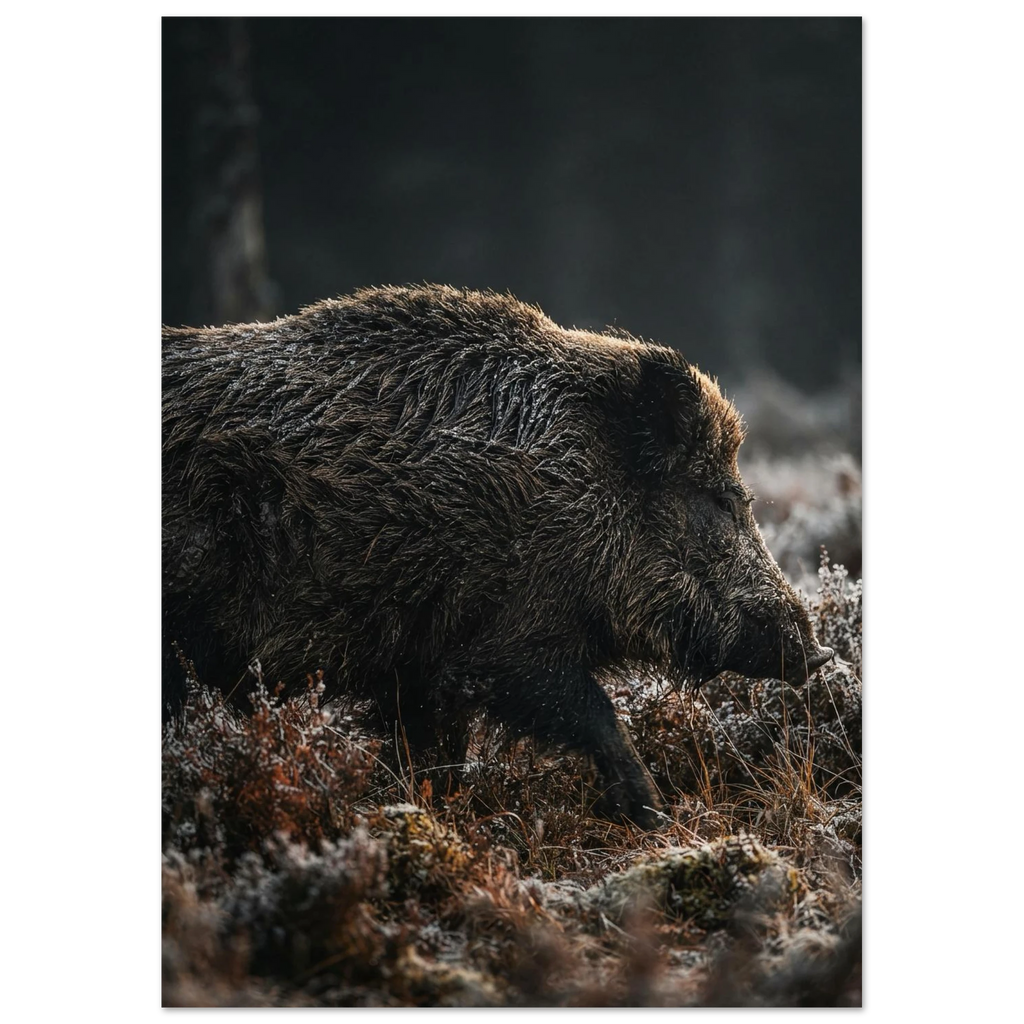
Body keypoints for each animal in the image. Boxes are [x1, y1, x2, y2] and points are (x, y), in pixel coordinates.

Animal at [161, 284, 833, 828]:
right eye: (719, 500)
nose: (819, 652)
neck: (580, 494)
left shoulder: (420, 669)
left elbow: (435, 754)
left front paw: (432, 810)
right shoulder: (503, 645)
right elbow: (595, 713)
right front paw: (652, 817)